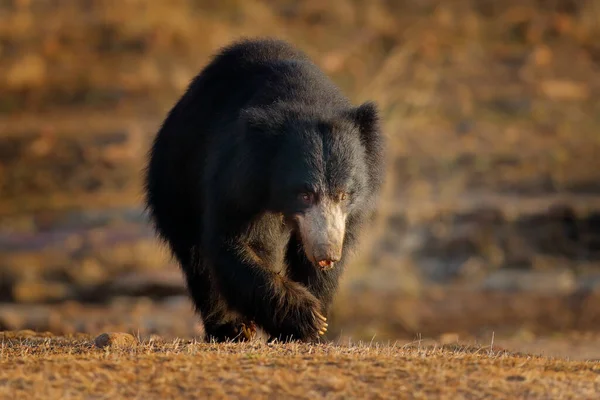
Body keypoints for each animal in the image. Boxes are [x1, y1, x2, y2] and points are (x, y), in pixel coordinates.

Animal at [148, 38, 386, 344]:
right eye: (304, 194)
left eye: (343, 194)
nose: (327, 254)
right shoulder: (237, 178)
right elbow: (231, 241)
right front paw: (306, 319)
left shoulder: (347, 216)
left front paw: (315, 320)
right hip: (176, 179)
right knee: (197, 258)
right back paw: (231, 327)